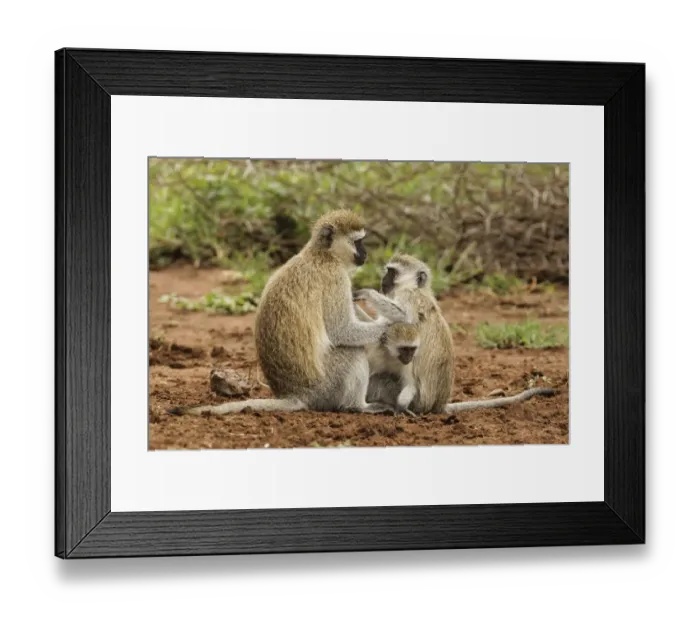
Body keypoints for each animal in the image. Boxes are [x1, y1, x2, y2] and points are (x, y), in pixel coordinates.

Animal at [168, 209, 406, 417]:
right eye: (358, 242)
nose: (366, 253)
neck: (322, 254)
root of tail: (295, 394)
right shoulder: (336, 278)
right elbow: (342, 331)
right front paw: (395, 324)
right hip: (326, 387)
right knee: (352, 351)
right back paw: (357, 406)